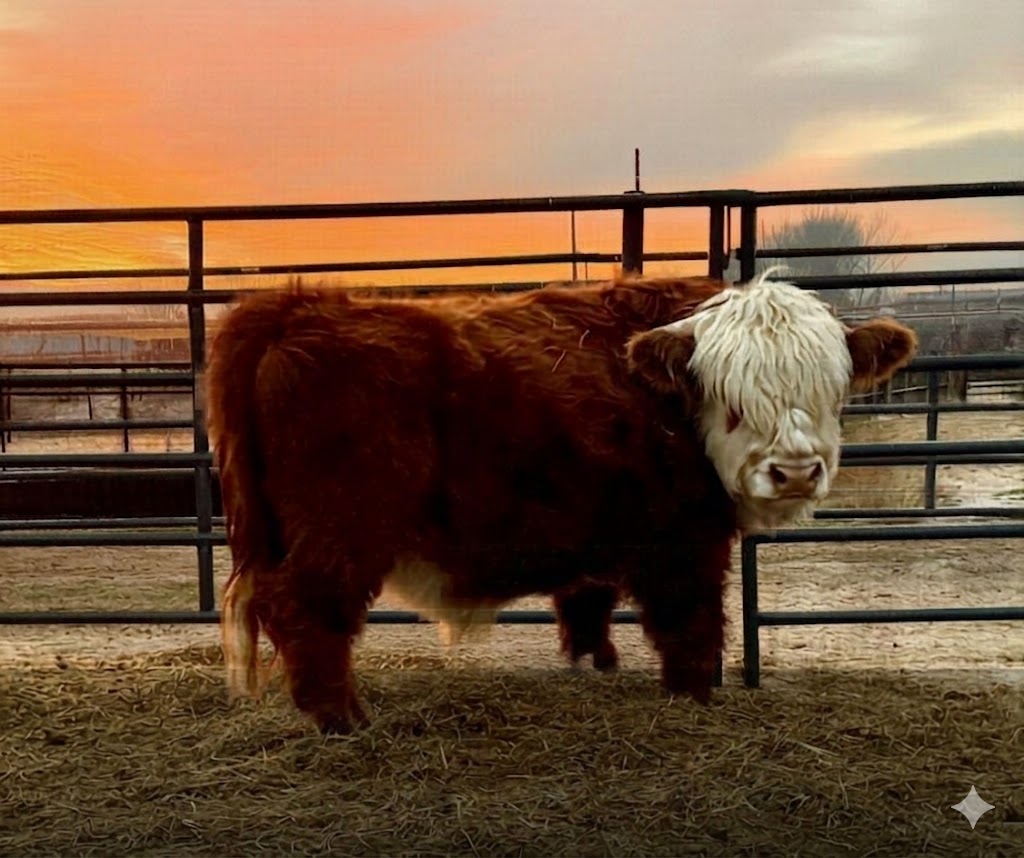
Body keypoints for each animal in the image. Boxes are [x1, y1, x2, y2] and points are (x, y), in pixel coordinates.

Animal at [204, 271, 918, 734]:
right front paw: (691, 699)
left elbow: (586, 604)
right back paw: (343, 720)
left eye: (831, 388)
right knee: (305, 612)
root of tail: (298, 308)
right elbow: (691, 627)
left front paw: (594, 667)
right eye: (734, 400)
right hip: (341, 534)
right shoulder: (683, 545)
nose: (795, 471)